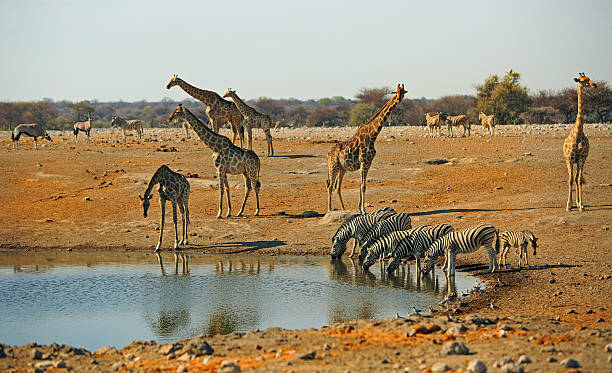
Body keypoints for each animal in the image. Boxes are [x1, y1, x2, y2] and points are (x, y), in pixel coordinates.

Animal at [326, 83, 406, 214]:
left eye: (403, 91)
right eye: (397, 91)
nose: (398, 98)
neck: (373, 135)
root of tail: (328, 154)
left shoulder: (367, 162)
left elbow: (362, 185)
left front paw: (360, 209)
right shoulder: (364, 161)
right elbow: (363, 186)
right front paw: (363, 210)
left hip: (342, 168)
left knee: (337, 186)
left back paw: (344, 209)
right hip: (333, 166)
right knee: (330, 186)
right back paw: (329, 210)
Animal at [560, 71, 596, 211]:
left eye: (589, 78)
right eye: (583, 80)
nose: (595, 84)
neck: (578, 133)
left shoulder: (581, 158)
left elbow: (579, 180)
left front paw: (581, 204)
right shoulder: (570, 159)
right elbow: (570, 180)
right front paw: (568, 205)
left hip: (579, 161)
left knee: (576, 178)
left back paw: (578, 202)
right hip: (569, 160)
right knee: (572, 178)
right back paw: (572, 203)